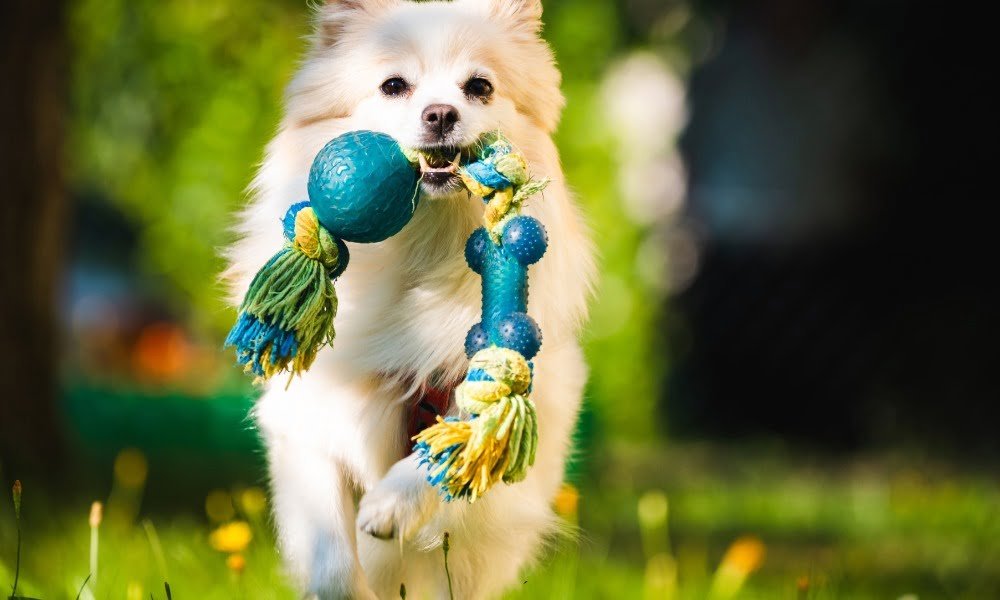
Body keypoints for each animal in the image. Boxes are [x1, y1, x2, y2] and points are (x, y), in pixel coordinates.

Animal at [227, 2, 592, 596]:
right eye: (394, 85)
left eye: (479, 87)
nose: (441, 114)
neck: (421, 243)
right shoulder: (311, 425)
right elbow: (331, 559)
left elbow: (464, 433)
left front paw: (391, 507)